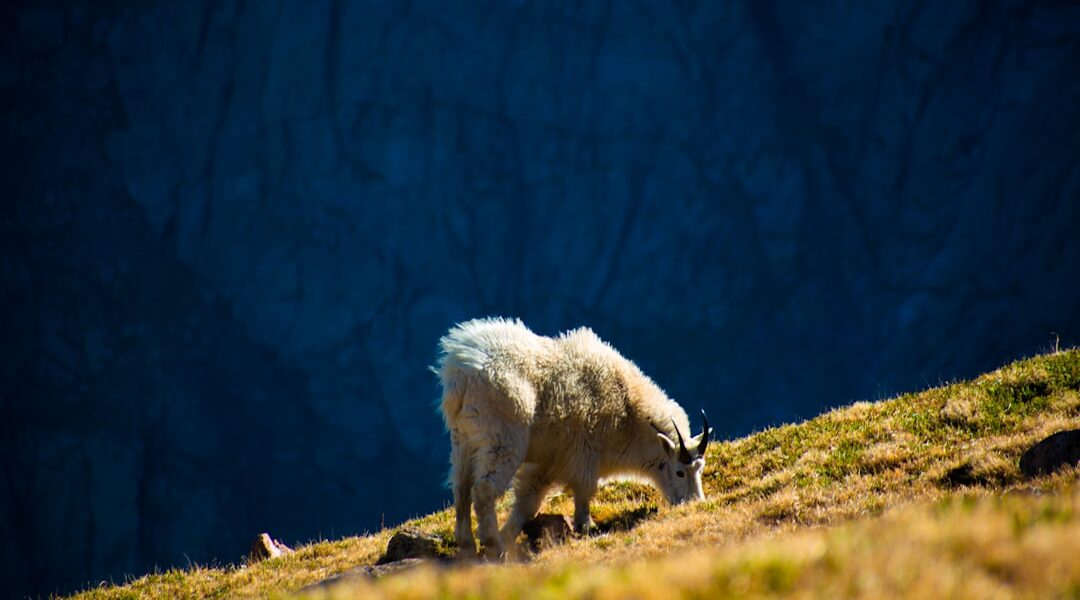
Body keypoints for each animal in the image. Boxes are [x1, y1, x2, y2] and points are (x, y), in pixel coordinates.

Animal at [434, 319, 712, 556]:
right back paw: (493, 545)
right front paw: (586, 526)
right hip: (502, 439)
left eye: (700, 468)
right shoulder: (584, 453)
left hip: (464, 440)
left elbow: (529, 500)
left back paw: (468, 545)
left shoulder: (549, 461)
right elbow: (584, 491)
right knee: (483, 490)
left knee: (461, 488)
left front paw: (509, 534)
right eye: (679, 472)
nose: (695, 503)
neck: (628, 410)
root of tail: (461, 373)